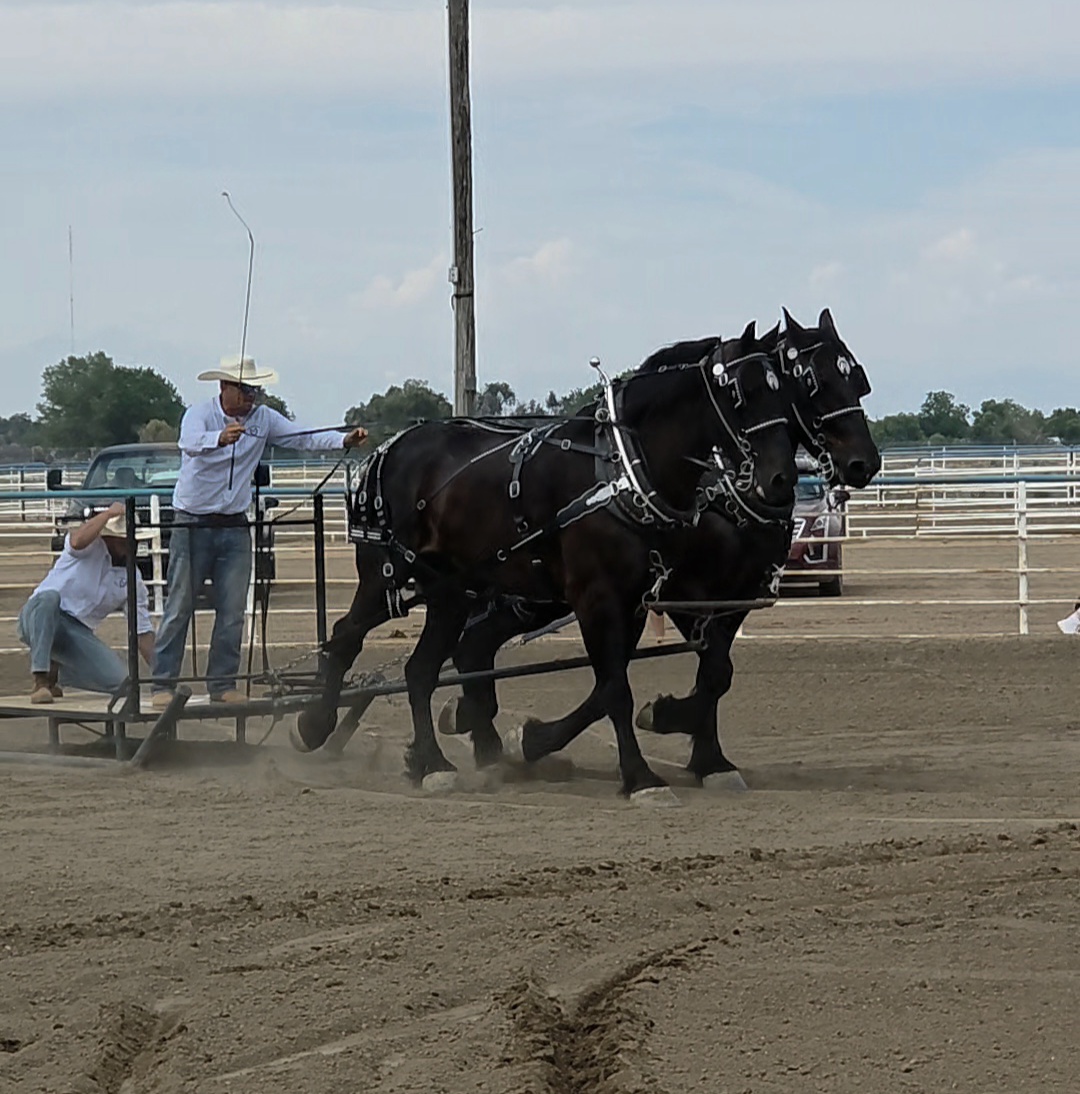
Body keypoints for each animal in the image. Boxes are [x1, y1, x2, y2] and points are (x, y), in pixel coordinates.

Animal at [293, 325, 798, 800]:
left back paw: (432, 763)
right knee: (346, 636)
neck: (620, 470)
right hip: (388, 576)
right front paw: (641, 777)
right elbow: (617, 689)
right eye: (742, 393)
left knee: (421, 670)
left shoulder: (641, 599)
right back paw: (315, 726)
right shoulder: (601, 596)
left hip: (451, 591)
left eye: (785, 391)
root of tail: (386, 449)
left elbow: (643, 680)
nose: (781, 479)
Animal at [436, 308, 881, 789]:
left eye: (858, 379)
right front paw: (669, 726)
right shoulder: (680, 596)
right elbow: (680, 678)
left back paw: (481, 736)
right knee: (473, 648)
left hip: (537, 596)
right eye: (813, 381)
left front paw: (707, 757)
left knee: (474, 647)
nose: (865, 463)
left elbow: (713, 674)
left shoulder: (728, 601)